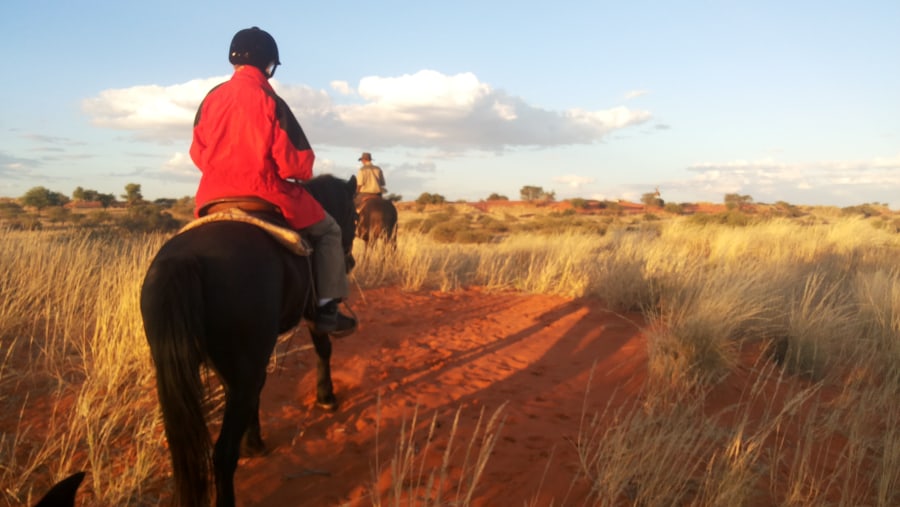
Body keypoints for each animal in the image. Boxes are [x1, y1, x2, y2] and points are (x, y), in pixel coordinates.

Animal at [141, 176, 356, 507]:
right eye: (356, 218)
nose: (350, 262)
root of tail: (184, 260)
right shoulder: (311, 312)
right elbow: (323, 348)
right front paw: (326, 397)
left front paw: (254, 442)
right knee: (222, 455)